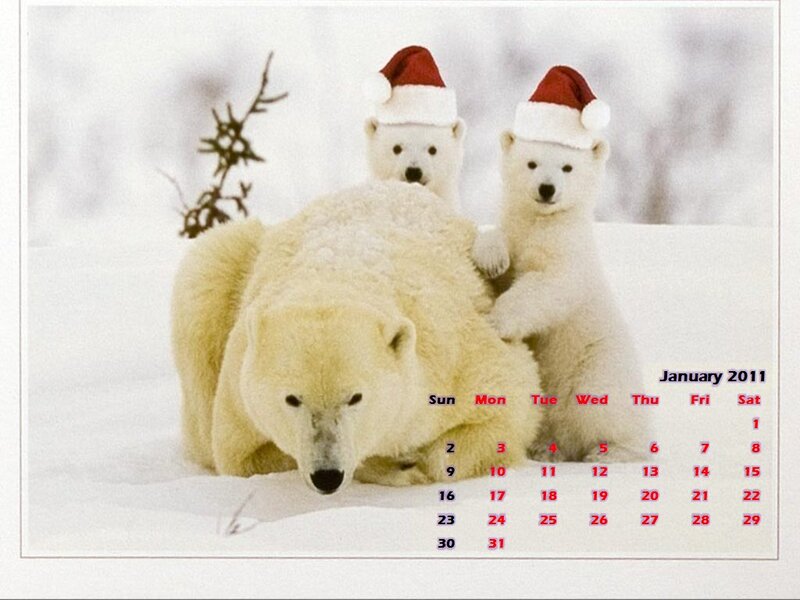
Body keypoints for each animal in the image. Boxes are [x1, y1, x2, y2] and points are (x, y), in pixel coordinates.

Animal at [172, 181, 542, 494]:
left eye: (355, 397)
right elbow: (240, 455)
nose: (327, 475)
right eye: (292, 399)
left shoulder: (455, 355)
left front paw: (414, 461)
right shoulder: (240, 391)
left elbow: (510, 408)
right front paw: (392, 464)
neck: (335, 277)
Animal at [472, 66, 647, 463]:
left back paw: (611, 451)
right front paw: (492, 259)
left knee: (604, 406)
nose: (547, 189)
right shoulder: (518, 226)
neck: (543, 222)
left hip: (598, 363)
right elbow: (503, 253)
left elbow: (546, 284)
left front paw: (498, 321)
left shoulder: (567, 255)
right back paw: (545, 449)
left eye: (567, 166)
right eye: (532, 163)